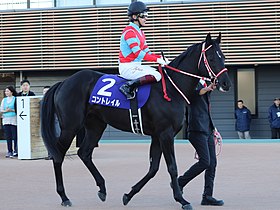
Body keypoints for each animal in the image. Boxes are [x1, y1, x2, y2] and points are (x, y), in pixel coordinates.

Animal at [41, 32, 230, 210]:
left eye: (223, 56)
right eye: (212, 58)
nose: (226, 83)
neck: (170, 89)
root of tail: (64, 82)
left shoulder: (157, 136)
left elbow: (153, 168)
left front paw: (128, 195)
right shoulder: (166, 134)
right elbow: (172, 167)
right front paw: (182, 200)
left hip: (96, 125)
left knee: (84, 153)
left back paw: (102, 188)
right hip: (70, 127)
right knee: (58, 155)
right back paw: (64, 196)